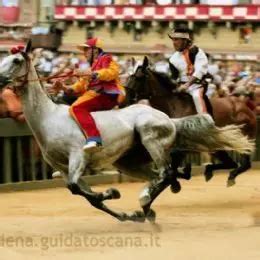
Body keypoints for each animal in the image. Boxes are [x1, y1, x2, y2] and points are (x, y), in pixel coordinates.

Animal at [125, 56, 256, 187]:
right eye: (130, 76)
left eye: (139, 77)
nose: (126, 99)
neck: (173, 105)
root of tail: (245, 107)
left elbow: (173, 165)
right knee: (231, 163)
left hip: (243, 137)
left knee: (244, 163)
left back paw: (228, 175)